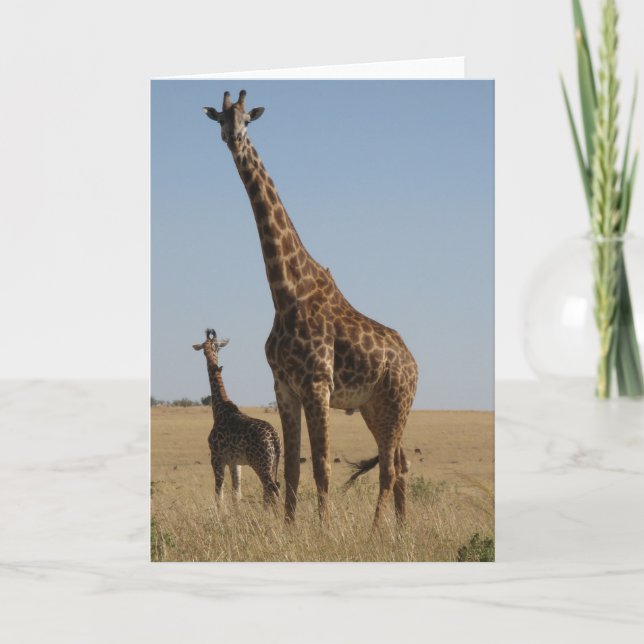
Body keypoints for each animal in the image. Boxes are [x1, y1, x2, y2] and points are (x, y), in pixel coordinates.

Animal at [193, 328, 281, 507]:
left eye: (209, 347)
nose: (207, 352)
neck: (219, 408)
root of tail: (275, 438)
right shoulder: (236, 462)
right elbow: (236, 494)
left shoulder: (217, 458)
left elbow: (219, 494)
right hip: (273, 463)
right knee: (272, 490)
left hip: (261, 464)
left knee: (272, 491)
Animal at [203, 91, 418, 526]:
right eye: (220, 118)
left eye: (247, 119)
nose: (233, 138)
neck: (286, 292)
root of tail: (416, 365)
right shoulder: (284, 386)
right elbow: (290, 469)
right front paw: (289, 529)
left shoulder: (318, 384)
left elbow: (321, 466)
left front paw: (323, 530)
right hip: (376, 407)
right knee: (401, 465)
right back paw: (402, 531)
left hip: (397, 402)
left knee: (389, 469)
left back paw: (377, 532)